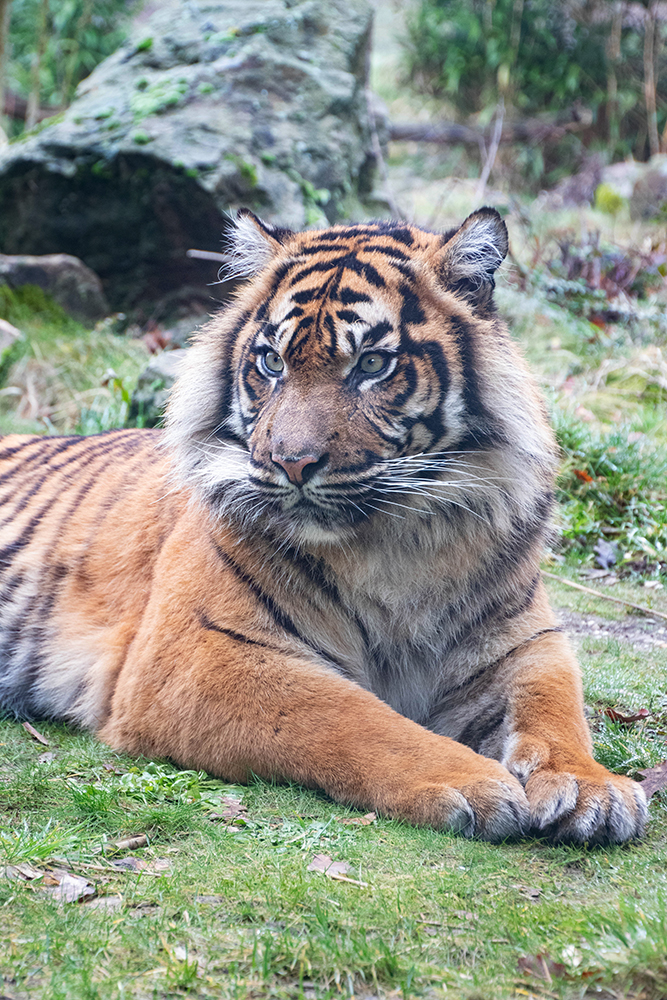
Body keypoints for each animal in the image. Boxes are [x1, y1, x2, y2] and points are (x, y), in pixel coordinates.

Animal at [0, 209, 648, 844]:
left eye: (372, 364)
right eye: (272, 362)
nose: (291, 462)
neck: (396, 540)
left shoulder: (522, 641)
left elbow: (555, 708)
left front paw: (592, 787)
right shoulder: (195, 654)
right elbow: (350, 717)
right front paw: (472, 781)